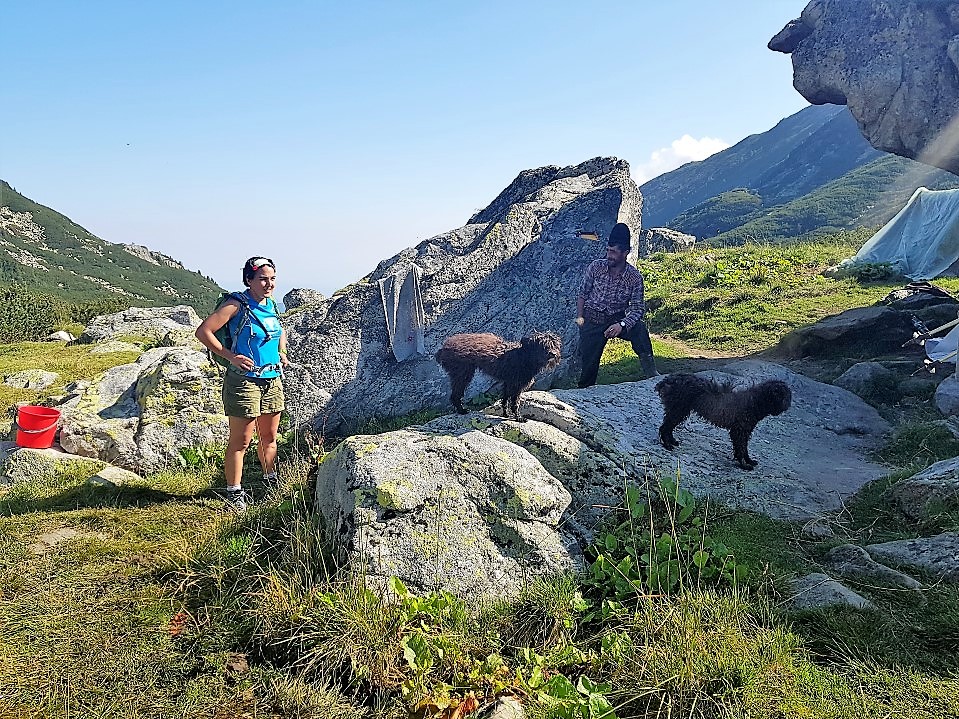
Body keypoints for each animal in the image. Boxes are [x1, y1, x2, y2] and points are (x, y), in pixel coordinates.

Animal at [436, 332, 564, 422]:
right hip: (462, 375)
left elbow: (505, 400)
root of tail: (443, 348)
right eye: (542, 345)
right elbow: (515, 403)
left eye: (555, 345)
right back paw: (462, 411)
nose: (553, 354)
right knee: (455, 395)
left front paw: (506, 414)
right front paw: (518, 418)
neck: (523, 356)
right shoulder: (516, 385)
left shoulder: (508, 383)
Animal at [656, 374, 792, 470]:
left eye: (788, 396)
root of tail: (668, 380)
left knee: (668, 427)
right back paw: (667, 445)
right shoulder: (739, 431)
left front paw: (748, 460)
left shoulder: (744, 431)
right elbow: (741, 448)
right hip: (677, 410)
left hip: (679, 411)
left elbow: (743, 448)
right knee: (664, 427)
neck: (754, 401)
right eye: (782, 396)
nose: (787, 405)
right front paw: (744, 465)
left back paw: (672, 441)